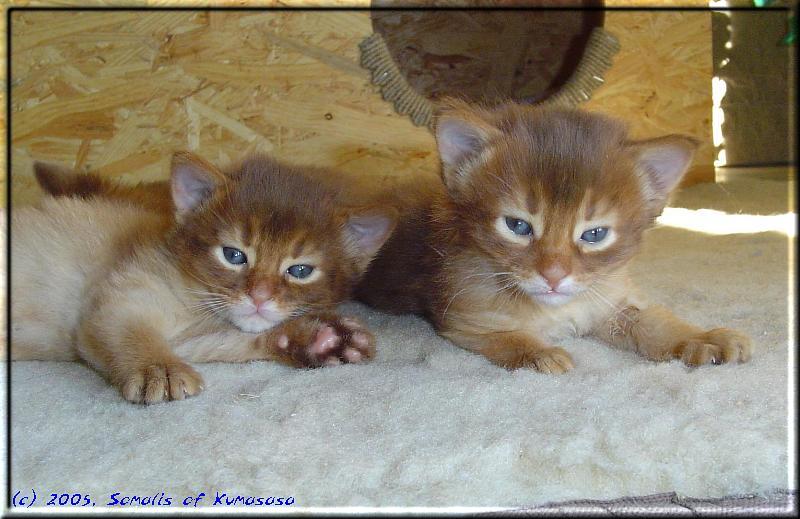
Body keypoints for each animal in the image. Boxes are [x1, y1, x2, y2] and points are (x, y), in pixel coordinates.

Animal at [10, 152, 398, 404]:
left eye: (300, 270)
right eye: (234, 255)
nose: (259, 296)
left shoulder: (190, 337)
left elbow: (232, 341)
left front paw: (319, 340)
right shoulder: (117, 301)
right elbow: (130, 335)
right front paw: (158, 367)